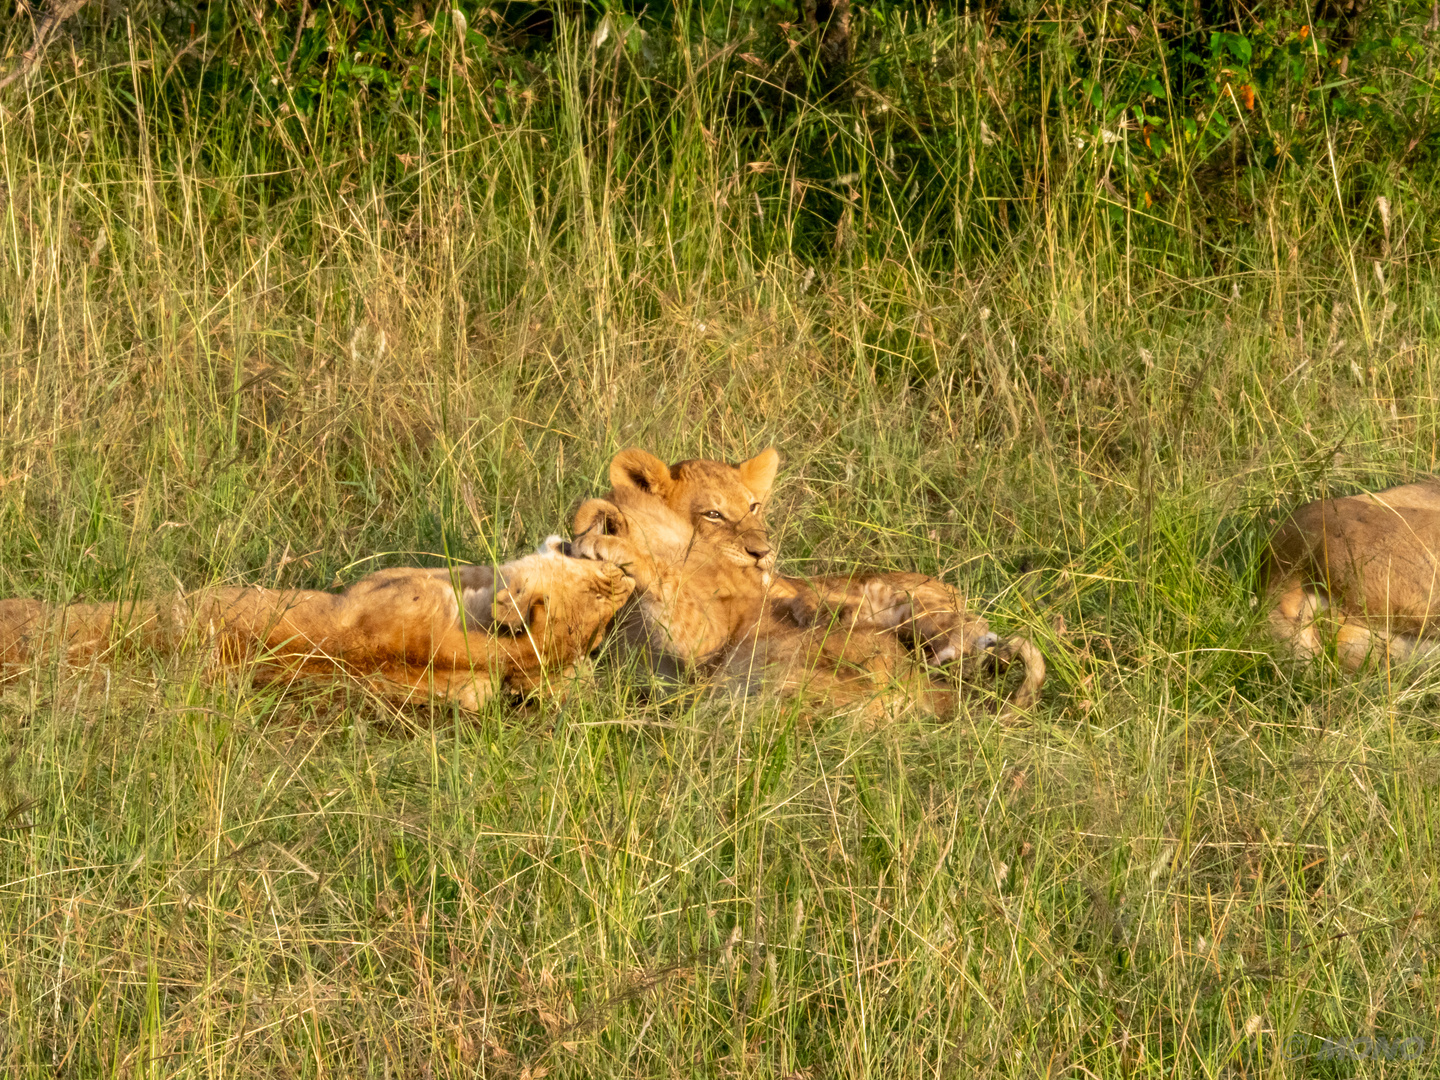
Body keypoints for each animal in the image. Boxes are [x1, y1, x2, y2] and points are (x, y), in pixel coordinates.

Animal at [564, 449, 1048, 720]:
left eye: (753, 506)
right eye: (714, 514)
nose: (762, 552)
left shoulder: (706, 642)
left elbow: (667, 585)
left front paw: (606, 543)